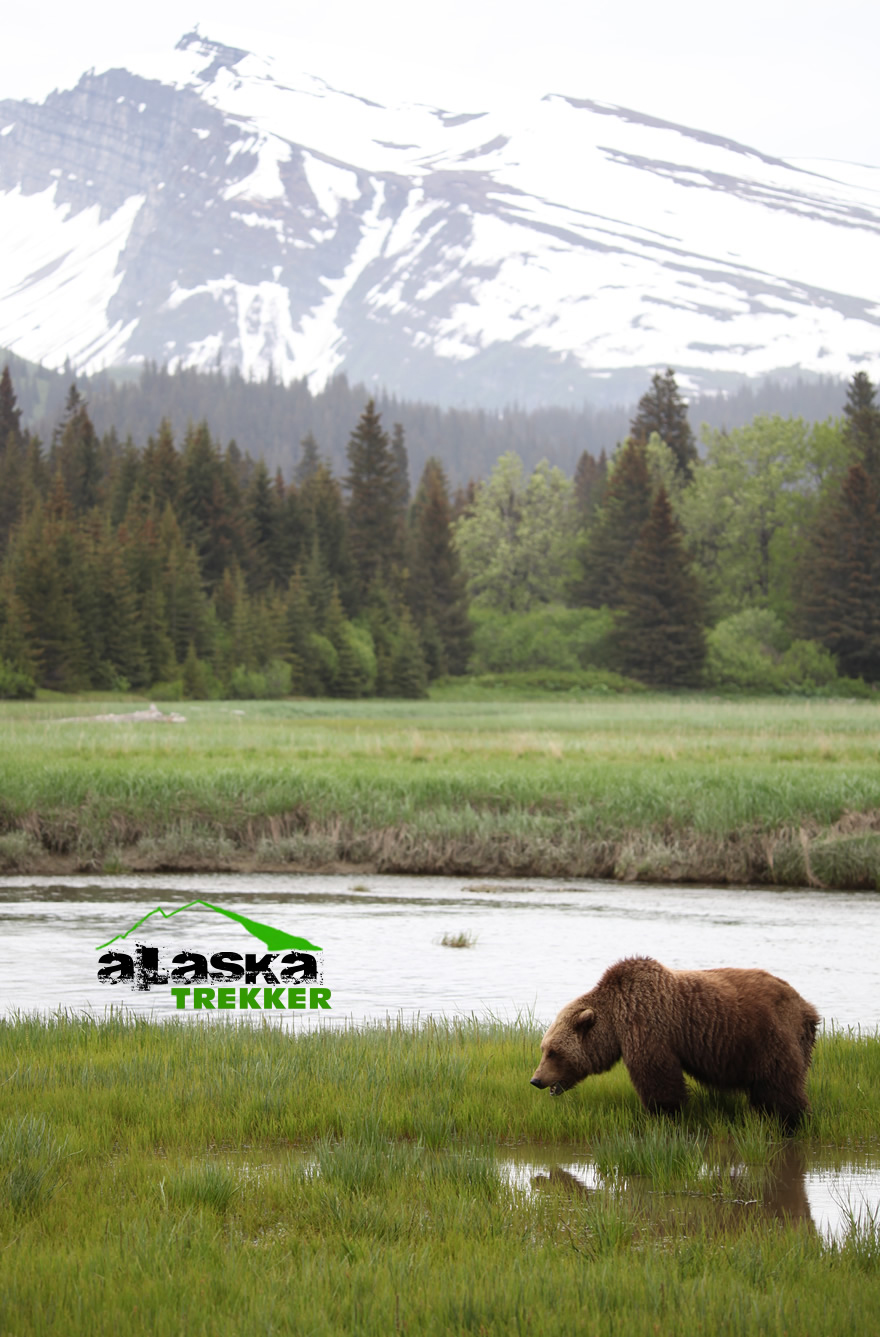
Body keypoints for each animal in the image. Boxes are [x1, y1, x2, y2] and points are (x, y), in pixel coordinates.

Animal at [530, 956, 819, 1130]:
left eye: (554, 1052)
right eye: (544, 1049)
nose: (536, 1080)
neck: (615, 1020)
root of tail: (807, 1007)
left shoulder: (647, 1025)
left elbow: (658, 1078)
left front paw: (664, 1115)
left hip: (770, 1036)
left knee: (779, 1086)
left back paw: (791, 1122)